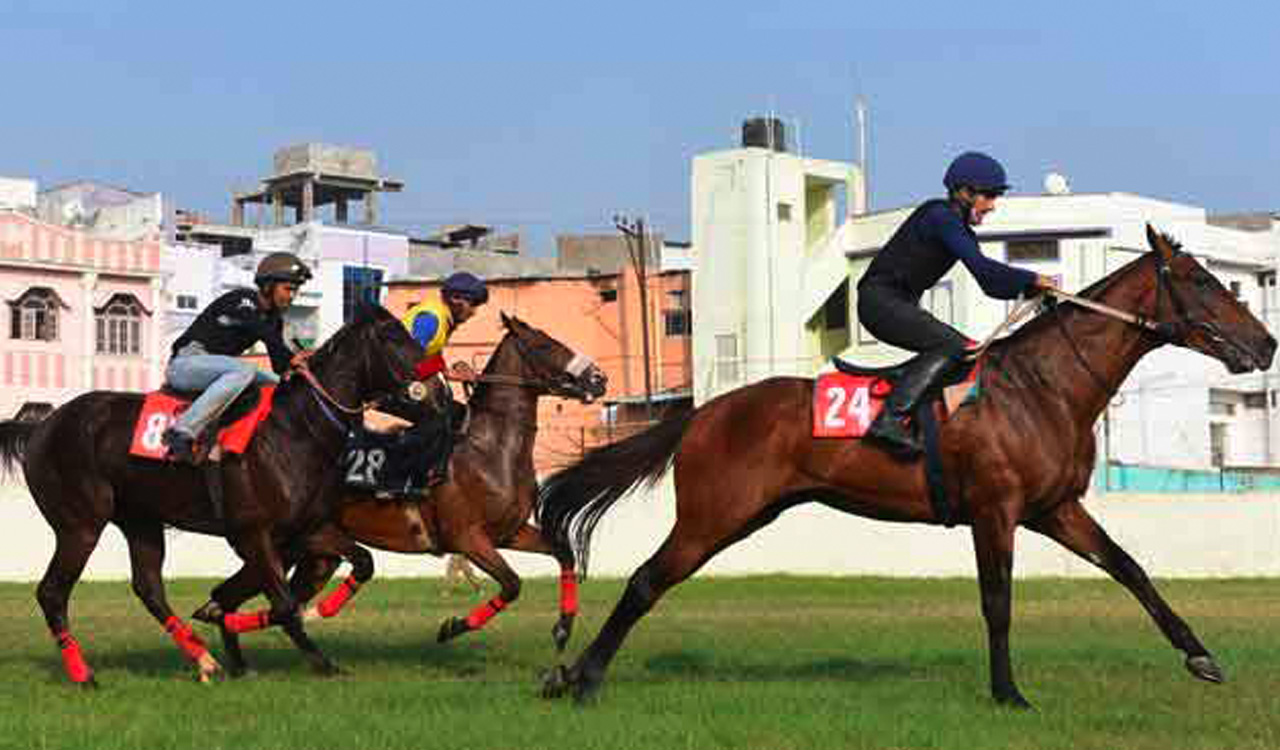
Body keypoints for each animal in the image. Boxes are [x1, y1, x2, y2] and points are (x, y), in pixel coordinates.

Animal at [0, 303, 422, 685]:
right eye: (393, 337)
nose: (429, 381)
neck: (297, 430)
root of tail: (39, 427)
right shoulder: (253, 533)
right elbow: (284, 605)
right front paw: (318, 661)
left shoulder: (305, 529)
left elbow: (363, 562)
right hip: (80, 524)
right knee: (53, 593)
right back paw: (84, 675)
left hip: (141, 521)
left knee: (149, 588)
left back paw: (204, 660)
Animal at [189, 312, 608, 675]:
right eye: (545, 344)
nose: (599, 378)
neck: (489, 449)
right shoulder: (468, 538)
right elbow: (512, 584)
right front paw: (453, 626)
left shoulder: (510, 532)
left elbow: (563, 552)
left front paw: (563, 628)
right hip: (284, 542)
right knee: (241, 599)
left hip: (309, 553)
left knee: (232, 597)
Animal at [535, 226, 1276, 708]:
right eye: (1200, 281)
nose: (1266, 343)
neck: (1043, 385)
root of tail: (705, 412)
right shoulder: (996, 511)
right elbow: (998, 602)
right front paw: (1008, 693)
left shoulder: (1055, 509)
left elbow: (1130, 568)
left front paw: (1199, 655)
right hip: (714, 516)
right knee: (644, 582)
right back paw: (581, 680)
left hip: (744, 515)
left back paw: (573, 676)